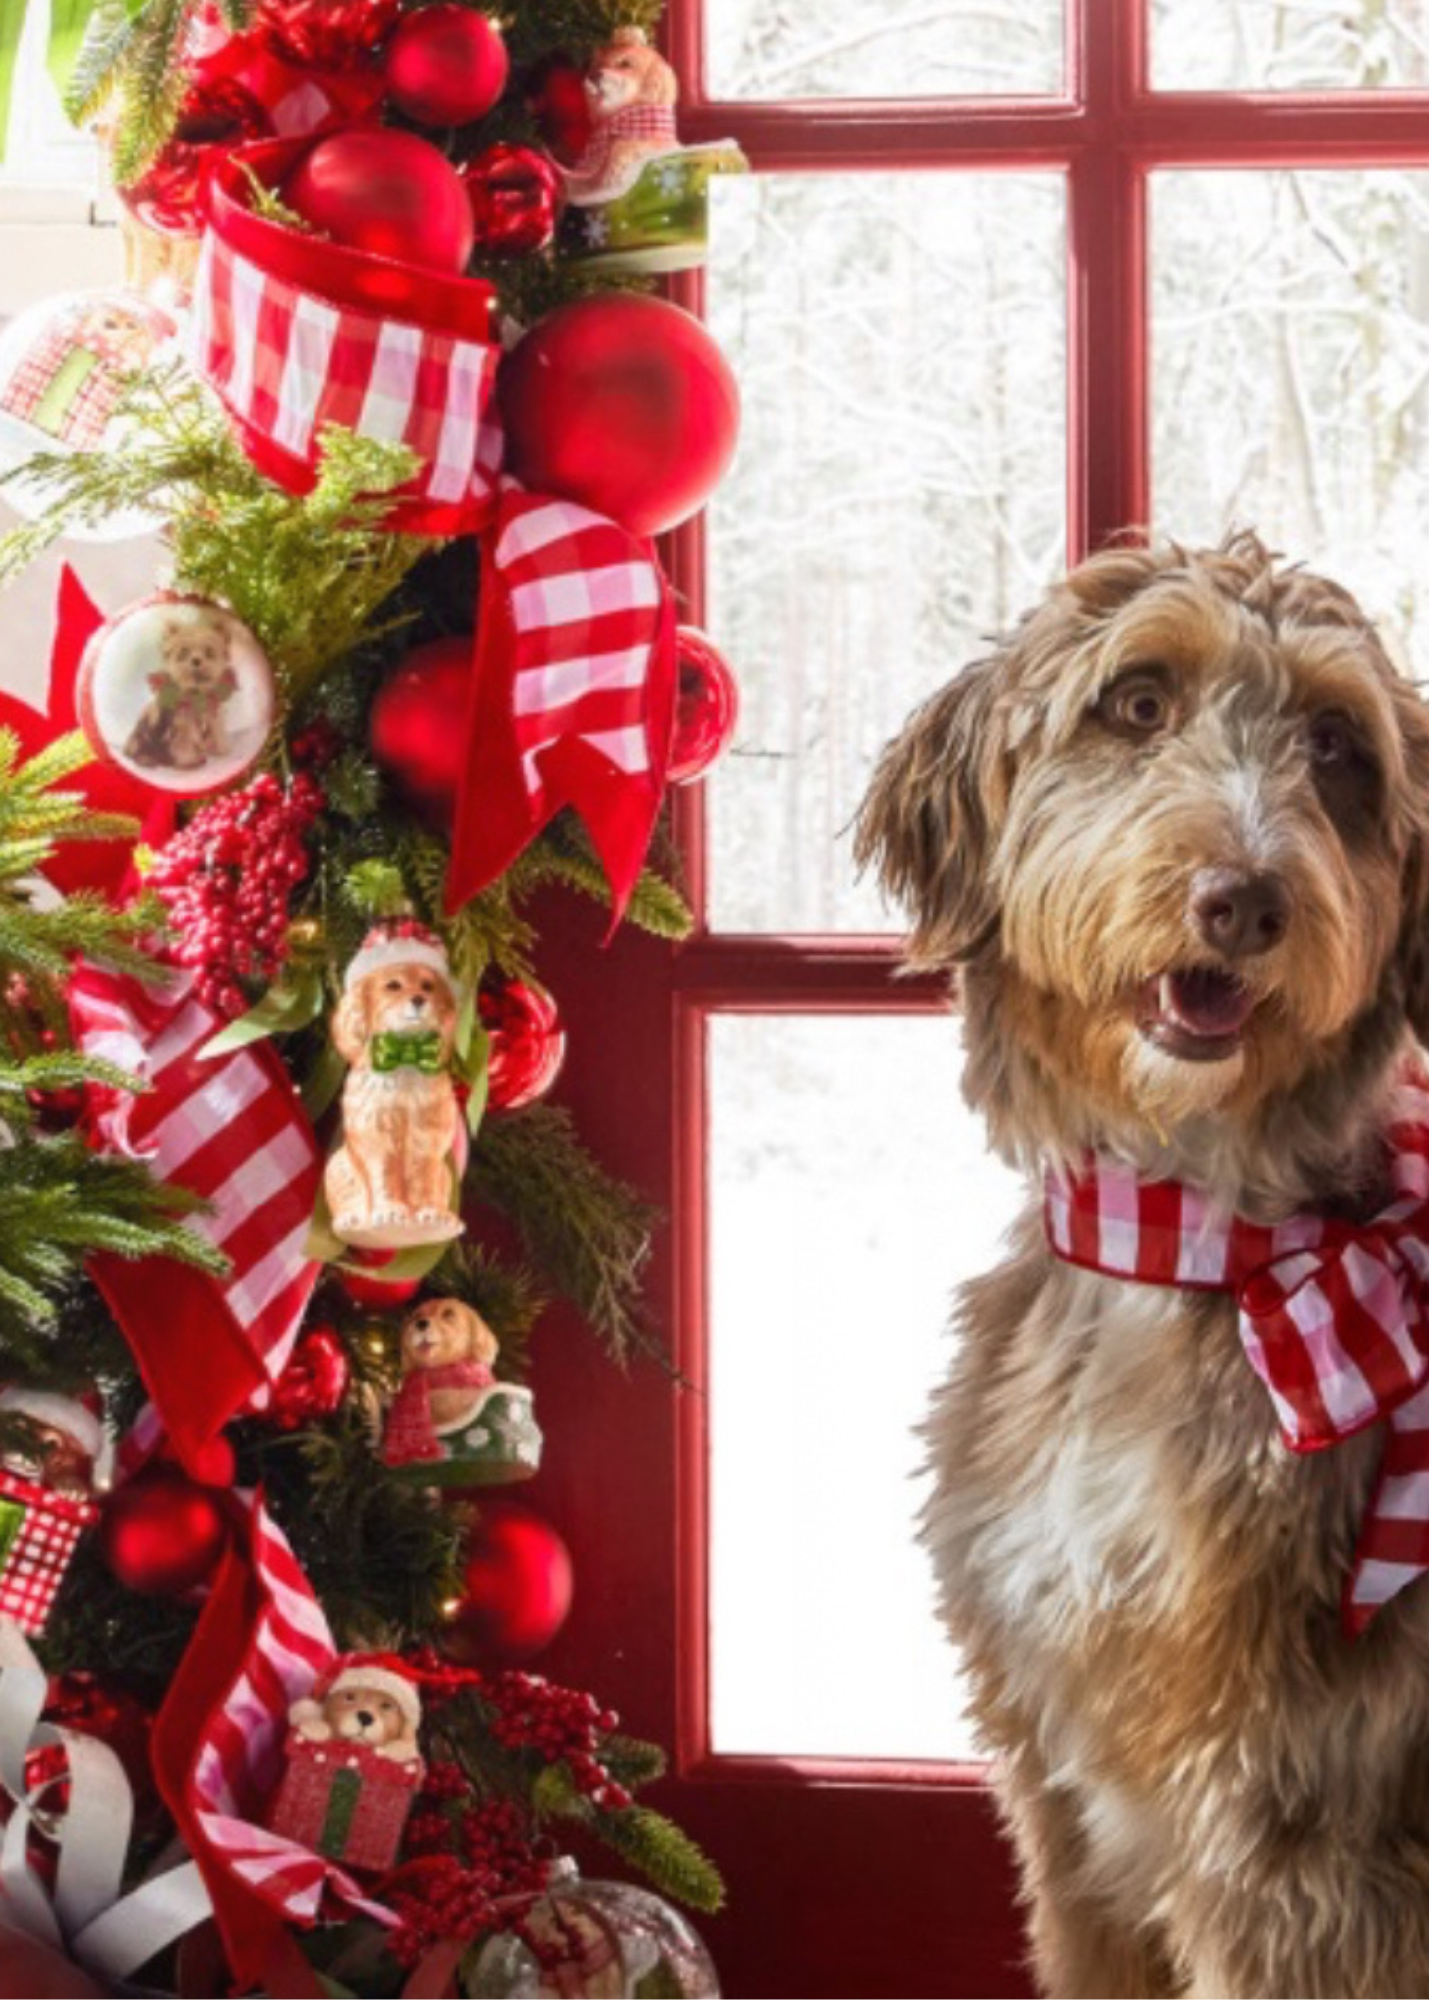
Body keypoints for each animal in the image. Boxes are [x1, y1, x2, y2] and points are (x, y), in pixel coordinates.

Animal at [856, 532, 1429, 2000]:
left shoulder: (1286, 1842)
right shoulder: (1062, 1800)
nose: (1244, 898)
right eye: (1136, 702)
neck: (1176, 1240)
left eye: (1336, 744)